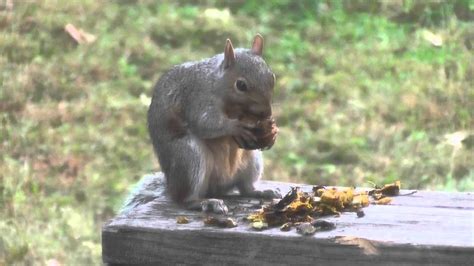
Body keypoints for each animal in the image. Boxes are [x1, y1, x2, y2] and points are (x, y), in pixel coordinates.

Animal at [147, 34, 282, 214]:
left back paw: (261, 191)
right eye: (241, 85)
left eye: (272, 77)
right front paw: (236, 127)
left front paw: (273, 131)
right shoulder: (198, 99)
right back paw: (206, 202)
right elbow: (205, 123)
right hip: (189, 157)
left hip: (252, 160)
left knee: (246, 188)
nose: (266, 113)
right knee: (185, 199)